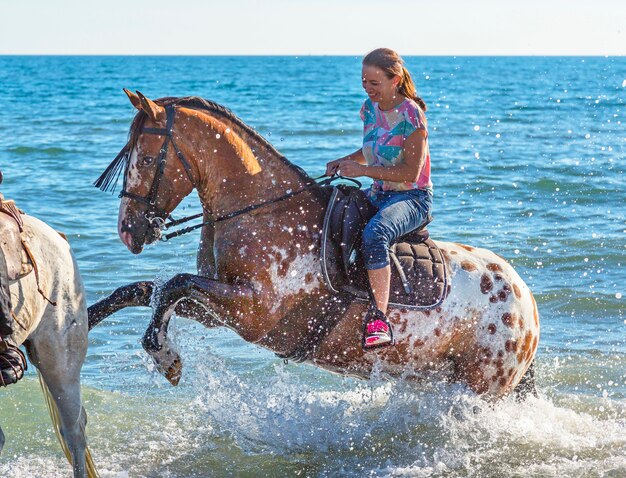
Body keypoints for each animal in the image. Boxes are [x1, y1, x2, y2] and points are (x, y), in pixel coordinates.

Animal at [90, 89, 540, 400]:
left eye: (147, 159)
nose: (128, 231)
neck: (263, 210)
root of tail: (527, 304)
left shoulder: (253, 312)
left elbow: (173, 285)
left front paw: (164, 357)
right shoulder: (221, 309)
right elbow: (145, 290)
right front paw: (87, 317)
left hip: (480, 386)